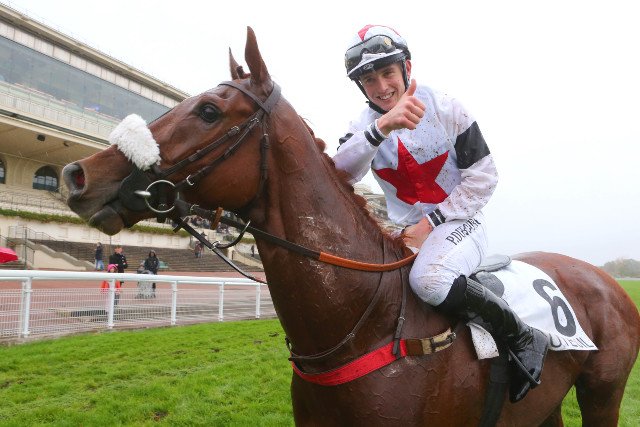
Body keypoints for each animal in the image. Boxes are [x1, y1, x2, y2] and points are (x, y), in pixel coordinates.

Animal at [62, 27, 640, 426]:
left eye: (207, 110)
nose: (77, 175)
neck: (369, 324)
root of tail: (607, 279)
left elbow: (481, 169)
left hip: (603, 394)